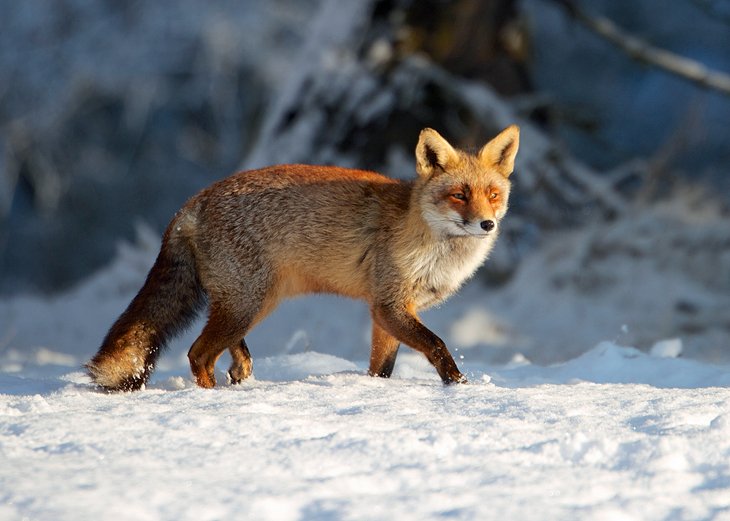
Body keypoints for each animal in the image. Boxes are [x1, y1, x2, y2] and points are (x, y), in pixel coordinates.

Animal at [86, 124, 516, 388]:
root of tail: (194, 201)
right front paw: (458, 386)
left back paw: (240, 374)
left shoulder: (384, 313)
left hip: (250, 303)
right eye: (459, 195)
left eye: (493, 194)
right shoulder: (390, 305)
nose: (487, 224)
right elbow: (438, 345)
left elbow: (382, 369)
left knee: (225, 349)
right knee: (198, 354)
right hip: (247, 303)